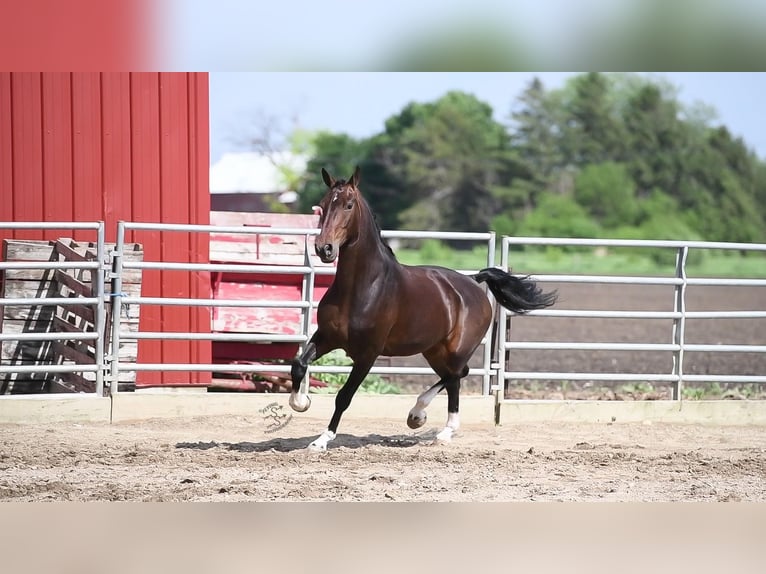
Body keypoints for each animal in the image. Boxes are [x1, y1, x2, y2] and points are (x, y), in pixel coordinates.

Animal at [288, 166, 557, 450]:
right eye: (323, 205)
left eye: (348, 205)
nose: (324, 248)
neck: (362, 288)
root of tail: (474, 281)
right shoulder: (327, 337)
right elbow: (299, 364)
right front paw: (301, 403)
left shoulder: (368, 354)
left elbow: (344, 396)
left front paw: (322, 440)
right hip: (433, 350)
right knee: (454, 377)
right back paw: (431, 423)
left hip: (456, 349)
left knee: (457, 374)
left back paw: (428, 420)